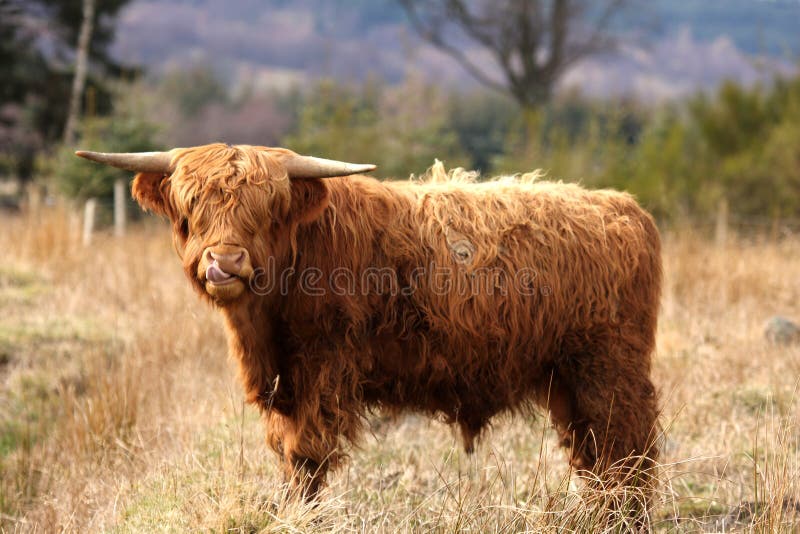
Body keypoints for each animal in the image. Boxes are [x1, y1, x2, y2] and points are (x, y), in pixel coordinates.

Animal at [76, 144, 664, 508]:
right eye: (190, 205)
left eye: (268, 208)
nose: (225, 262)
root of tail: (624, 208)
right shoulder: (284, 382)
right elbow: (287, 454)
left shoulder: (324, 367)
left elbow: (306, 456)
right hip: (568, 380)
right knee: (594, 456)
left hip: (609, 369)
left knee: (629, 453)